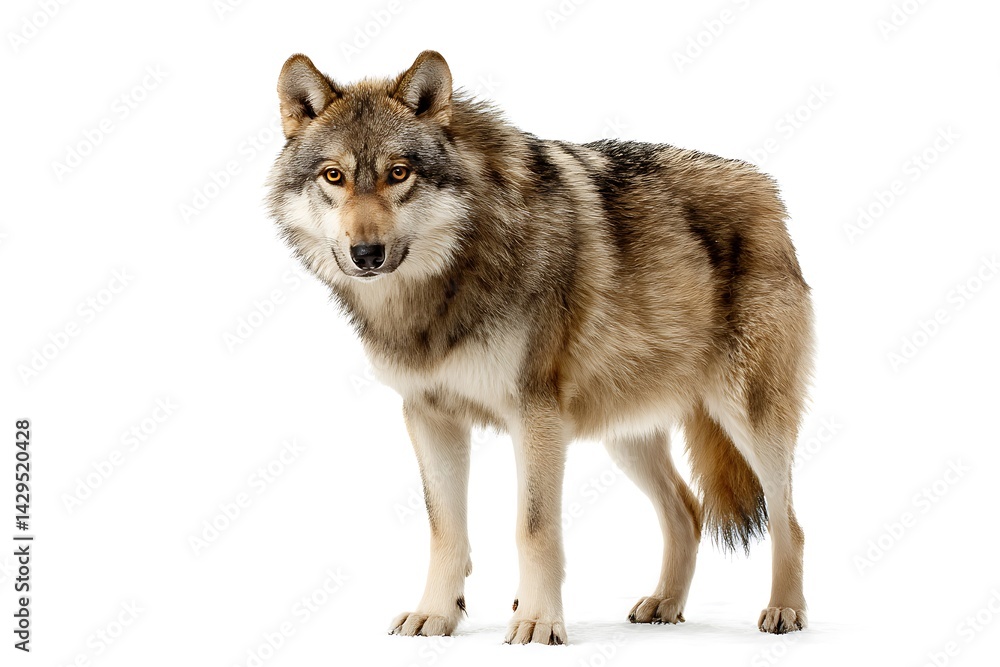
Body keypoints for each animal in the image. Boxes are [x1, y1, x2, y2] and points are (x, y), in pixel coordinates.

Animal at [266, 50, 814, 645]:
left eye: (399, 173)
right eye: (334, 176)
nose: (367, 253)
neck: (442, 286)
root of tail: (768, 189)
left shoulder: (536, 416)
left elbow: (534, 529)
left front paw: (536, 621)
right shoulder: (428, 414)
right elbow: (445, 529)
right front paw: (435, 615)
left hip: (748, 419)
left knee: (790, 522)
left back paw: (784, 611)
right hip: (623, 432)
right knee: (688, 511)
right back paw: (663, 605)